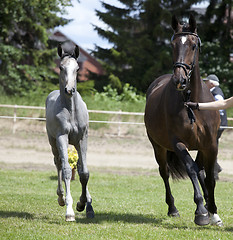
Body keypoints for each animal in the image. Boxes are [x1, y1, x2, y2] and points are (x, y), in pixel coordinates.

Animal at [45, 43, 93, 221]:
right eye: (61, 67)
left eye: (77, 68)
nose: (69, 90)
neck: (72, 111)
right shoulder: (62, 137)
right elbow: (66, 170)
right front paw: (70, 211)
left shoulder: (82, 139)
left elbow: (84, 172)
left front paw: (83, 204)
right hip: (53, 142)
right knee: (58, 163)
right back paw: (61, 197)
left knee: (79, 166)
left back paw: (88, 203)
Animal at [145, 15, 223, 227]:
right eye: (173, 44)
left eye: (193, 45)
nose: (179, 80)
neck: (192, 103)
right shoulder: (178, 144)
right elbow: (192, 170)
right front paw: (201, 211)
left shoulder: (210, 145)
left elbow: (209, 177)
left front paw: (213, 211)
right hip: (159, 147)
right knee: (164, 172)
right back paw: (173, 209)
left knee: (202, 171)